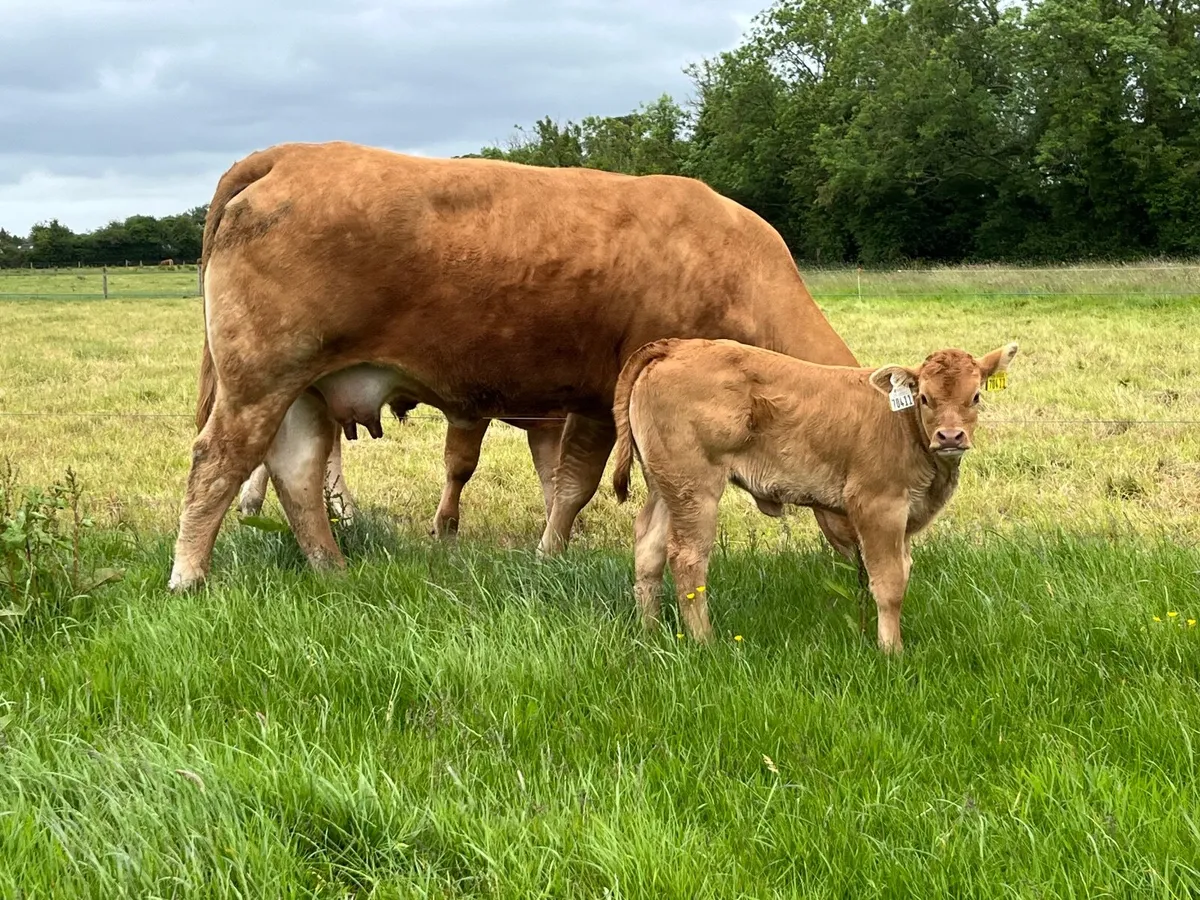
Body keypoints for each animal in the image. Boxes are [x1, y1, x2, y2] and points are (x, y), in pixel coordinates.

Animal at [611, 337, 1019, 653]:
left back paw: (650, 633)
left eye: (976, 396)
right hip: (696, 487)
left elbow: (902, 573)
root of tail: (675, 346)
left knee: (649, 550)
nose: (950, 437)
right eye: (924, 398)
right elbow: (889, 583)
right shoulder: (877, 505)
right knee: (688, 558)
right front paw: (892, 651)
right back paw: (704, 641)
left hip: (666, 486)